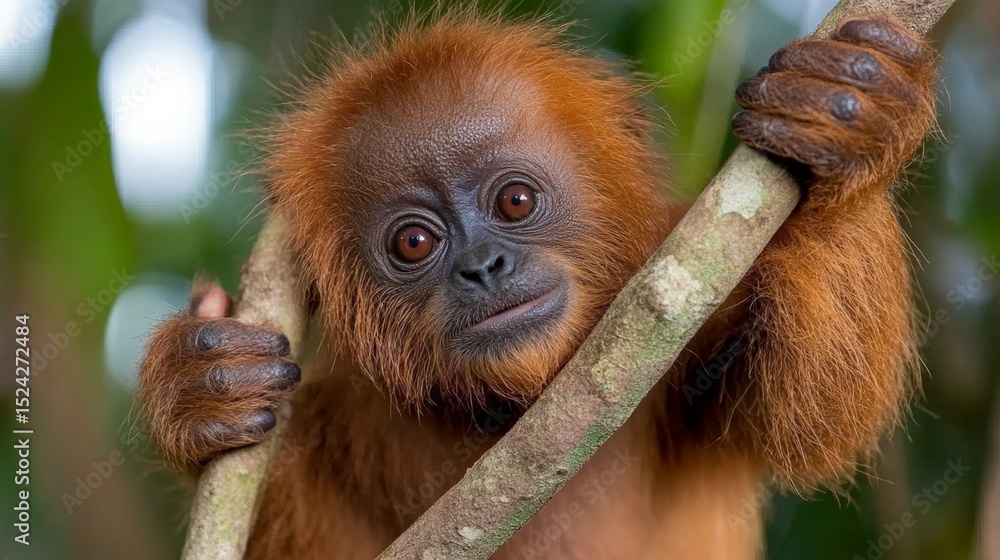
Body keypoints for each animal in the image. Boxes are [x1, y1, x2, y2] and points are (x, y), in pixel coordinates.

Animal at [136, 9, 938, 559]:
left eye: (515, 202)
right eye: (414, 242)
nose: (483, 266)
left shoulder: (697, 300)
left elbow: (811, 414)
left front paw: (850, 134)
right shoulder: (341, 418)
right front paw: (194, 388)